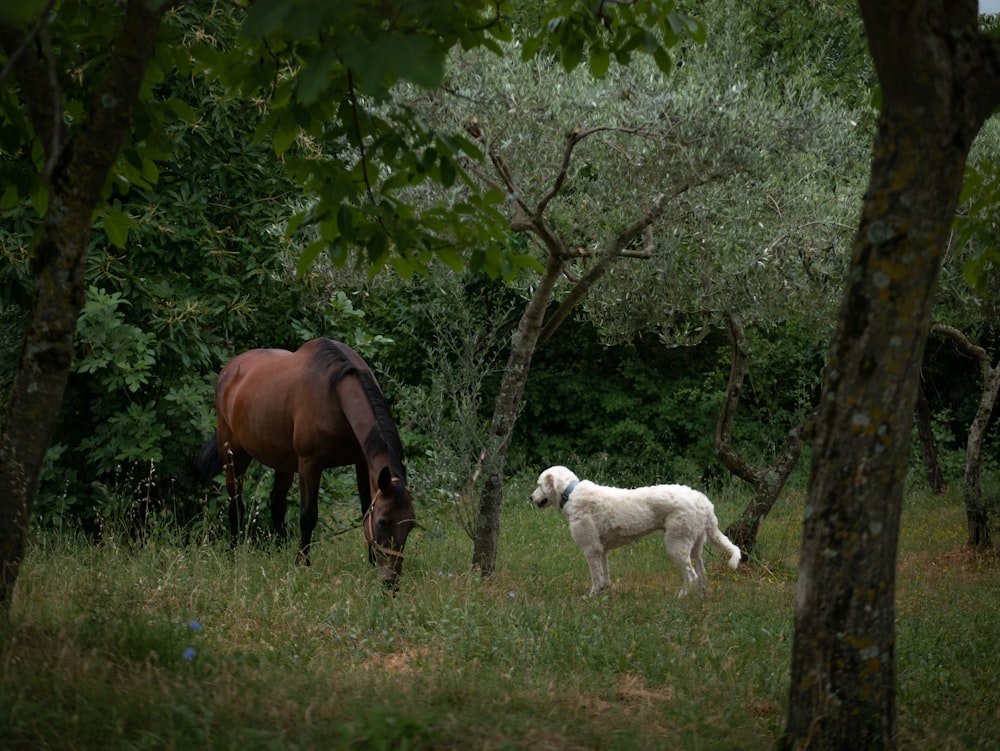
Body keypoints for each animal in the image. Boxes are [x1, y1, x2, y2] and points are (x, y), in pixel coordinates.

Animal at [191, 340, 414, 588]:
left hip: (282, 461)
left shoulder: (362, 463)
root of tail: (228, 371)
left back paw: (279, 551)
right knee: (236, 505)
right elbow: (308, 516)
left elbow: (366, 508)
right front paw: (303, 564)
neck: (334, 394)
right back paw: (233, 555)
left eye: (410, 525)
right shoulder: (310, 465)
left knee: (277, 504)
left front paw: (371, 561)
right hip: (234, 455)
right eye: (384, 522)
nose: (390, 582)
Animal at [532, 464, 744, 600]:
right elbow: (604, 576)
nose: (530, 498)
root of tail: (704, 501)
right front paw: (603, 595)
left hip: (676, 544)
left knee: (691, 577)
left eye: (539, 484)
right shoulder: (601, 550)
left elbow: (596, 577)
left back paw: (680, 597)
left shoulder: (591, 549)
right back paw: (700, 598)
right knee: (702, 575)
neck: (570, 494)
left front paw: (591, 597)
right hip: (694, 546)